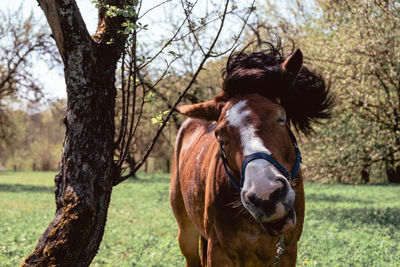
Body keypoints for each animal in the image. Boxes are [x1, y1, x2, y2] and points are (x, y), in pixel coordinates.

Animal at [170, 43, 332, 266]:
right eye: (220, 137)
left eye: (281, 119)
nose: (266, 196)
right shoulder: (218, 252)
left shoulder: (287, 252)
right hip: (186, 234)